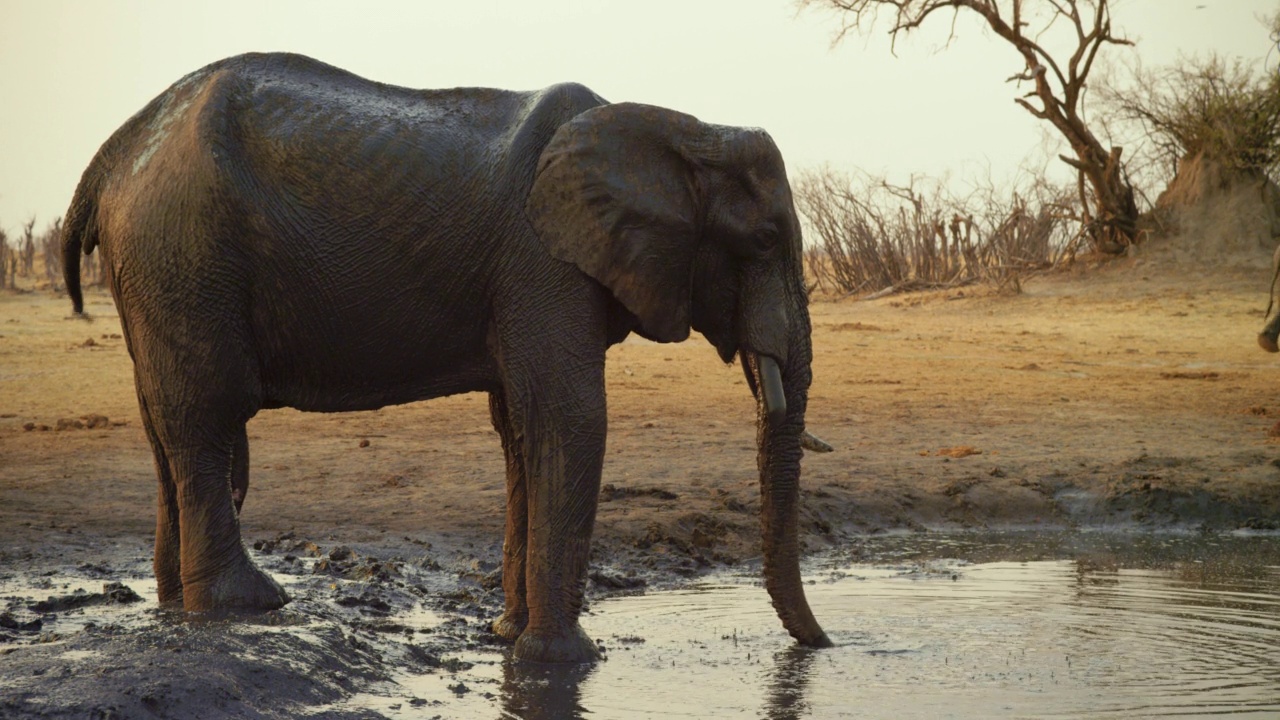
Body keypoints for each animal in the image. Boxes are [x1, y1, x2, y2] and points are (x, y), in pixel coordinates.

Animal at [64, 51, 834, 661]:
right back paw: (246, 605)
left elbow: (520, 430)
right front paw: (565, 662)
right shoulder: (543, 261)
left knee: (163, 427)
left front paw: (508, 638)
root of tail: (112, 152)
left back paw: (177, 603)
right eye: (766, 239)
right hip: (184, 252)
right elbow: (571, 418)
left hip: (158, 267)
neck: (684, 130)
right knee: (209, 417)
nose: (825, 646)